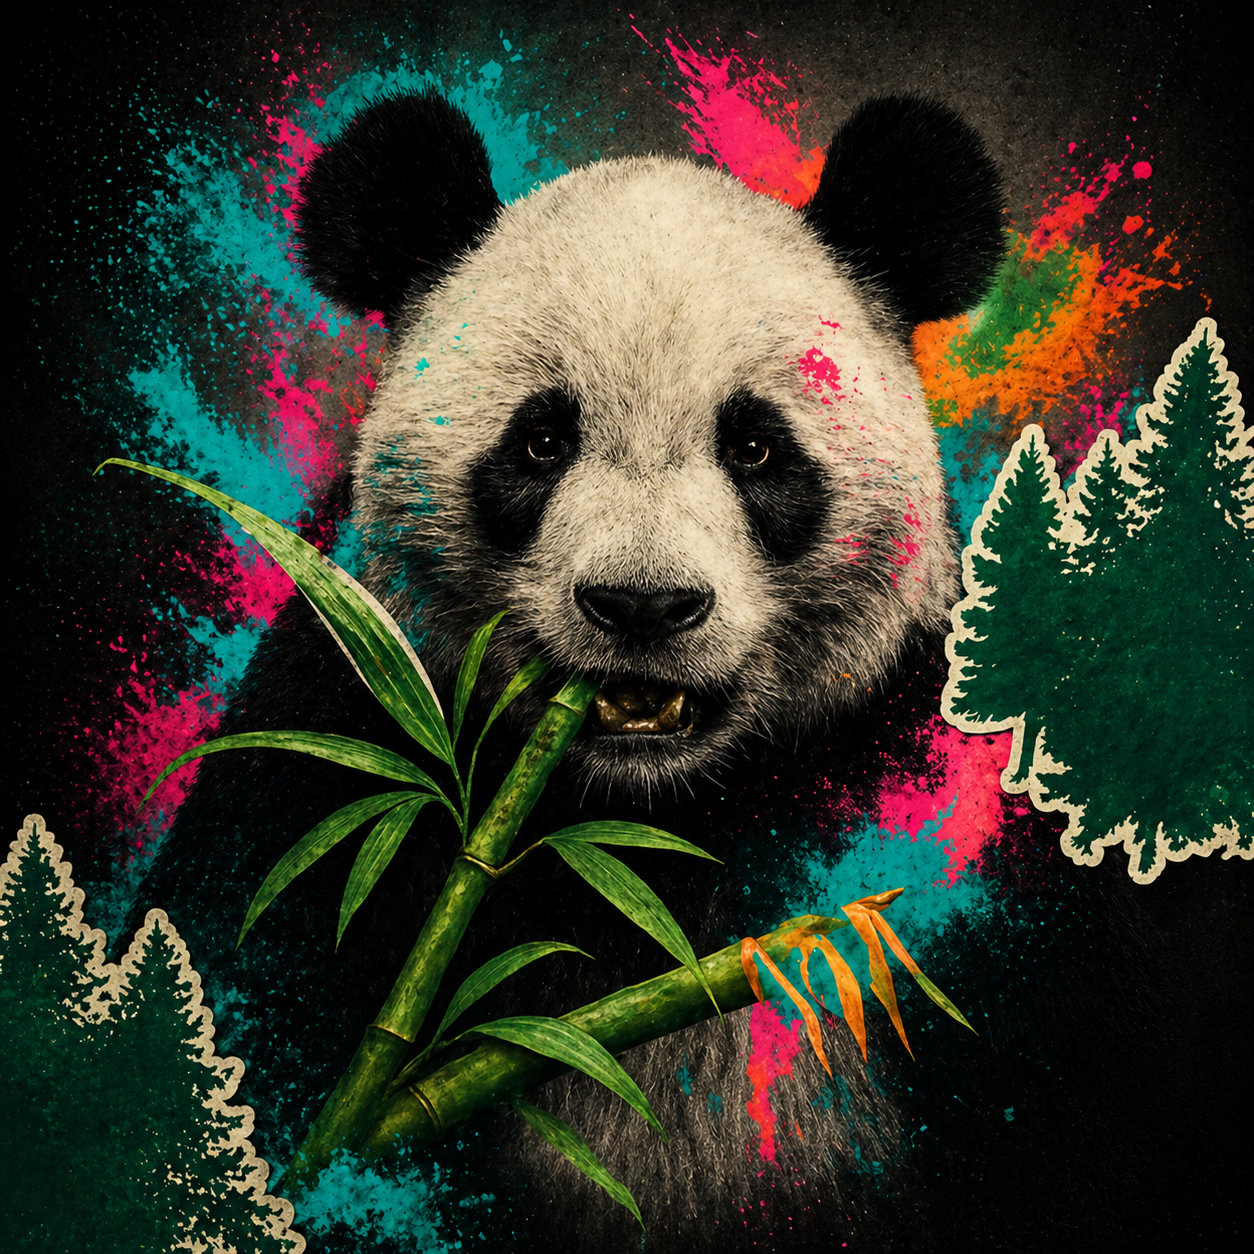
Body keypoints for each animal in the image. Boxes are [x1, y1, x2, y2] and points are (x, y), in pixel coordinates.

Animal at [129, 91, 1002, 1251]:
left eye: (757, 448)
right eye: (542, 440)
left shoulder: (924, 752)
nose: (643, 605)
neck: (649, 817)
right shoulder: (332, 748)